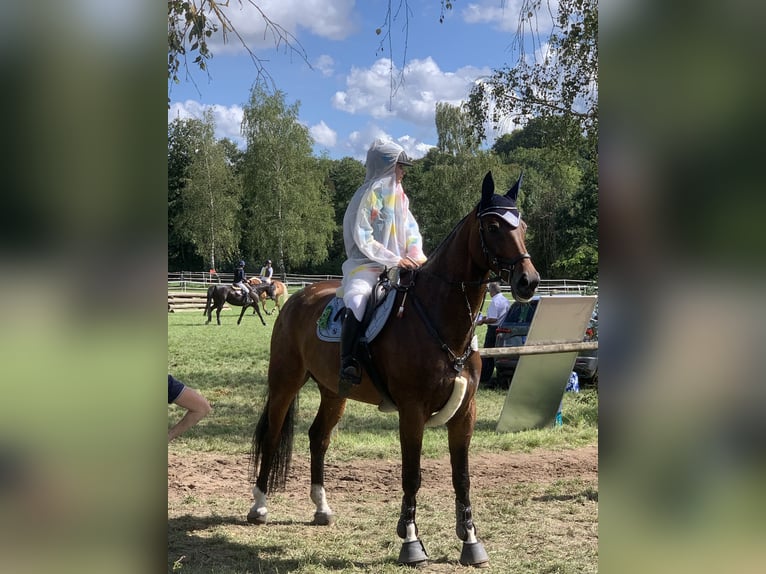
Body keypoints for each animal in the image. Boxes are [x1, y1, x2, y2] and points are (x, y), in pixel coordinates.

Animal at [246, 171, 540, 568]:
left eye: (522, 226)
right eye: (493, 226)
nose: (529, 281)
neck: (439, 319)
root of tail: (296, 298)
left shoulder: (466, 413)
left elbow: (462, 477)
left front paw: (470, 541)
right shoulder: (412, 412)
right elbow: (412, 475)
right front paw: (411, 541)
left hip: (334, 393)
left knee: (318, 438)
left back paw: (322, 507)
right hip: (284, 383)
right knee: (274, 435)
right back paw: (259, 506)